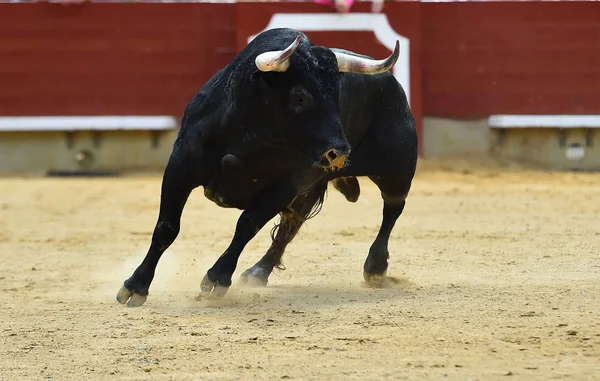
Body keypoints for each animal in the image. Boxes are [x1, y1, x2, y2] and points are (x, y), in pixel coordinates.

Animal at [116, 27, 418, 306]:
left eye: (338, 97)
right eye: (299, 97)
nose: (340, 152)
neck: (252, 134)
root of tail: (393, 85)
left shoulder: (286, 185)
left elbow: (246, 225)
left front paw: (216, 279)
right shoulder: (181, 167)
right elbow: (167, 227)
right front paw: (135, 286)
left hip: (397, 169)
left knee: (392, 208)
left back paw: (376, 267)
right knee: (290, 227)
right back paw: (258, 272)